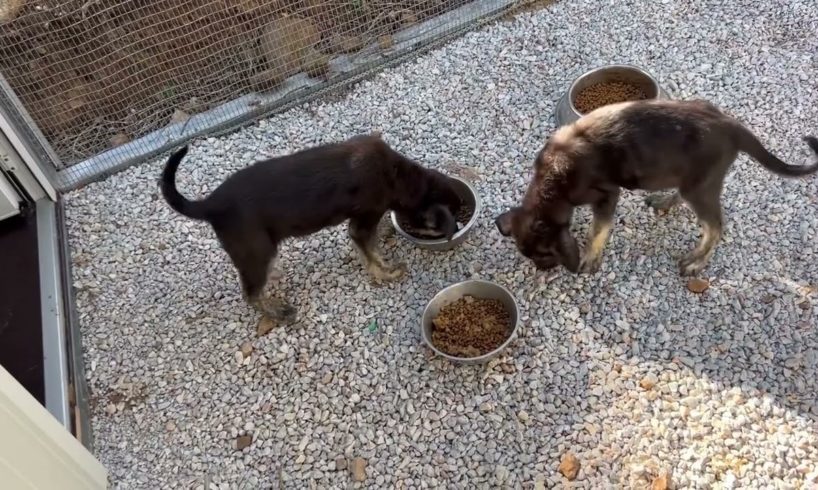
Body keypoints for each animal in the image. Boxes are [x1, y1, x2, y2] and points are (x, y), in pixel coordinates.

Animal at [490, 99, 816, 276]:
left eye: (544, 255)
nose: (542, 269)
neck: (552, 181)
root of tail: (732, 127)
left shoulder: (607, 194)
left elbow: (599, 230)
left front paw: (590, 258)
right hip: (691, 179)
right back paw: (664, 202)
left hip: (700, 186)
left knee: (716, 227)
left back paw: (696, 263)